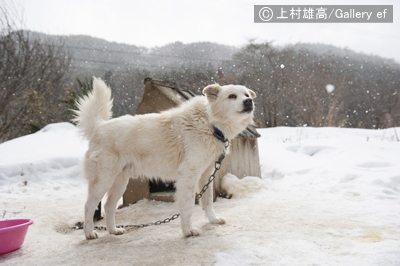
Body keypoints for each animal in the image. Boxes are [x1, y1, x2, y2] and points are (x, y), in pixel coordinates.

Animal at [73, 77, 255, 239]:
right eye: (232, 96)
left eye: (246, 95)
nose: (249, 102)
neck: (211, 123)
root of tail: (99, 127)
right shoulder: (188, 175)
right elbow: (188, 205)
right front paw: (188, 231)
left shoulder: (206, 175)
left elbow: (208, 201)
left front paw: (213, 220)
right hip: (104, 180)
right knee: (89, 206)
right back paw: (89, 233)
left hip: (120, 182)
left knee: (108, 206)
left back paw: (113, 231)